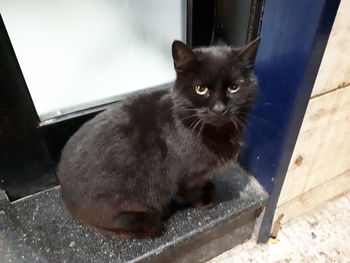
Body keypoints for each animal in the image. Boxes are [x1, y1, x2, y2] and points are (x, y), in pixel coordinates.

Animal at [57, 39, 260, 239]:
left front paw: (208, 184)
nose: (219, 109)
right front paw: (204, 201)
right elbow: (191, 191)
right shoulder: (184, 178)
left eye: (234, 87)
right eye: (201, 89)